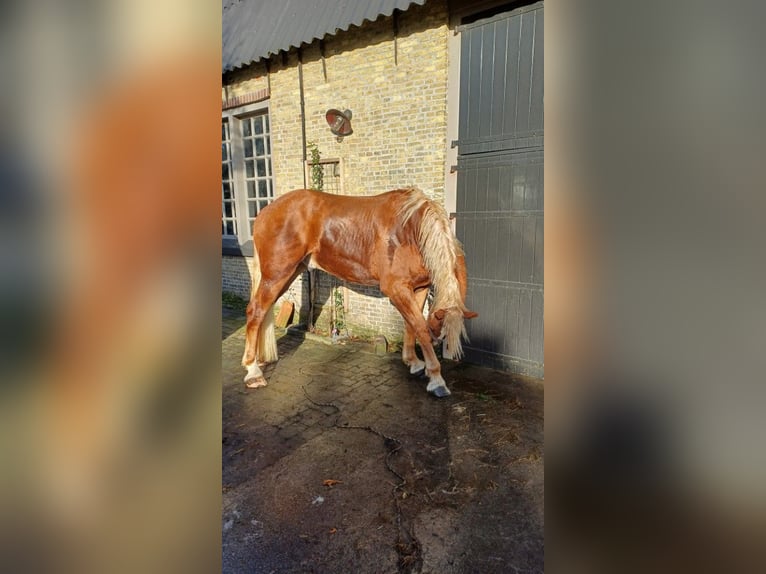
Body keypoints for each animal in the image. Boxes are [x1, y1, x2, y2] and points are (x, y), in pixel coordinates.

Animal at [243, 187, 476, 398]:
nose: (443, 348)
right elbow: (420, 327)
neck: (411, 230)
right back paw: (253, 372)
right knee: (255, 312)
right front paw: (436, 379)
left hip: (290, 273)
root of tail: (265, 212)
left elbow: (412, 326)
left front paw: (414, 363)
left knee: (262, 311)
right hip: (276, 275)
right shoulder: (397, 289)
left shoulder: (419, 288)